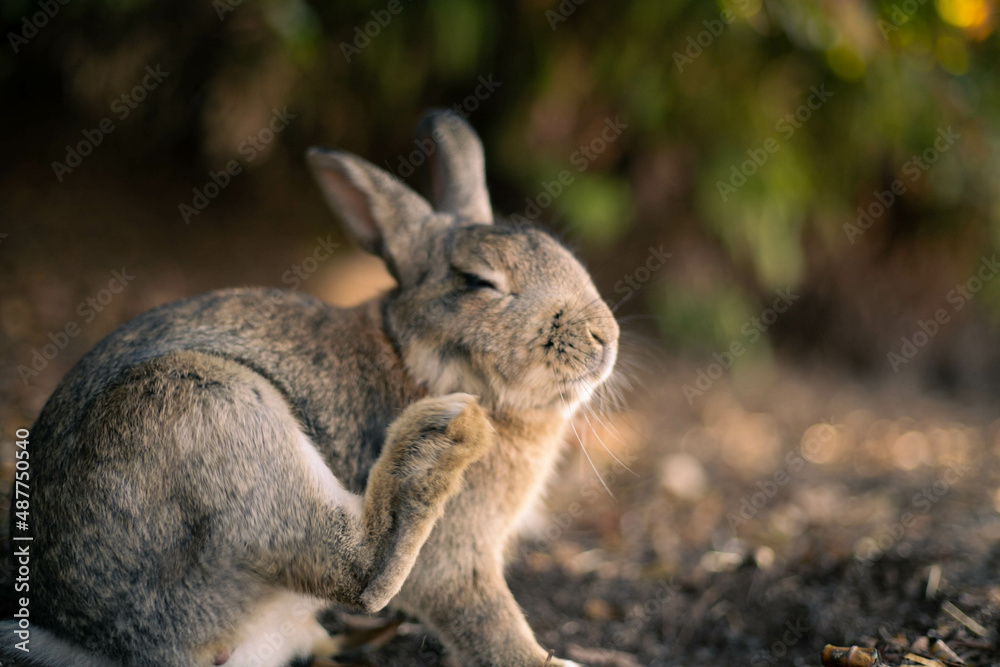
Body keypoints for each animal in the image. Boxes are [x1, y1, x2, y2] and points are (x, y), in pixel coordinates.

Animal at [1, 109, 618, 667]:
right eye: (478, 281)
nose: (605, 337)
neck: (417, 360)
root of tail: (89, 638)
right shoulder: (457, 557)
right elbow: (484, 620)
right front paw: (545, 662)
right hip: (207, 409)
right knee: (358, 572)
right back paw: (437, 442)